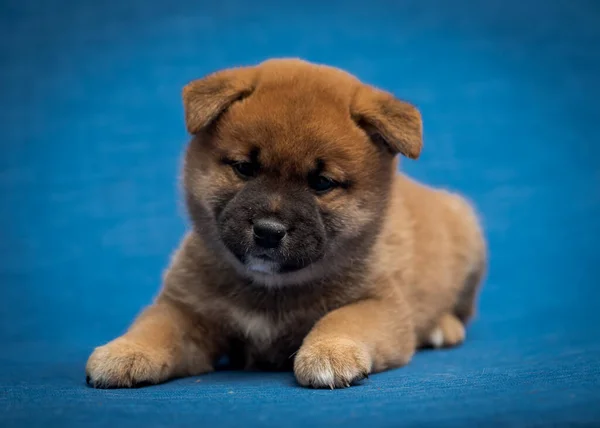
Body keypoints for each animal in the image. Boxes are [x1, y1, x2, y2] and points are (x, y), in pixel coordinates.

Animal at [85, 58, 488, 390]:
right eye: (244, 168)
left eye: (322, 183)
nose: (268, 231)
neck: (272, 289)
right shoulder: (188, 310)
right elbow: (157, 326)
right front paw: (126, 351)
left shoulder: (380, 304)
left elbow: (342, 319)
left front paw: (329, 352)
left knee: (462, 310)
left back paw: (442, 326)